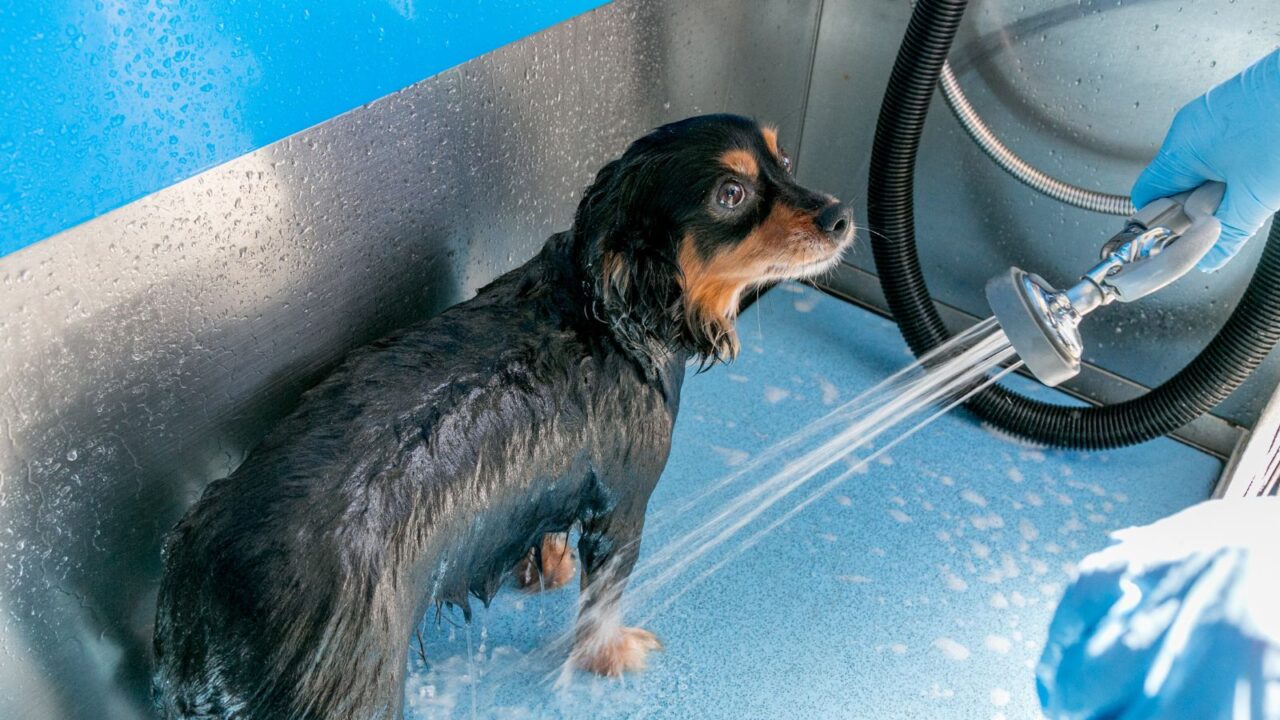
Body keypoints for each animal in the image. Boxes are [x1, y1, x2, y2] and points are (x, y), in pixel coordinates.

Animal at [149, 113, 855, 717]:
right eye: (731, 194)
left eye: (783, 160)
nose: (842, 215)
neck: (613, 315)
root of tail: (208, 582)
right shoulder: (624, 503)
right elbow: (603, 597)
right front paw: (609, 653)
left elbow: (542, 523)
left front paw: (546, 566)